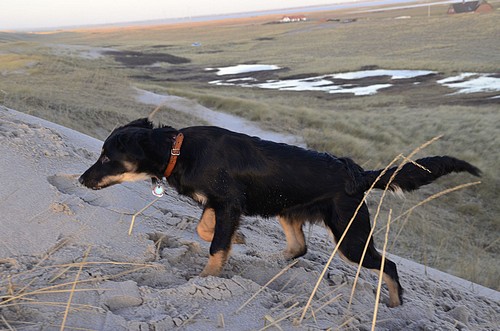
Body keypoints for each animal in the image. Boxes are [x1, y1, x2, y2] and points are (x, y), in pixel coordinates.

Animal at [79, 119, 480, 308]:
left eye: (107, 158)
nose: (82, 179)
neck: (180, 149)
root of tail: (358, 173)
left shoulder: (228, 202)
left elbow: (214, 244)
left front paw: (206, 279)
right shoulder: (220, 204)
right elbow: (206, 229)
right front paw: (239, 238)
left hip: (349, 236)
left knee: (388, 265)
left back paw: (395, 304)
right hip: (289, 211)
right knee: (299, 247)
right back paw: (274, 261)